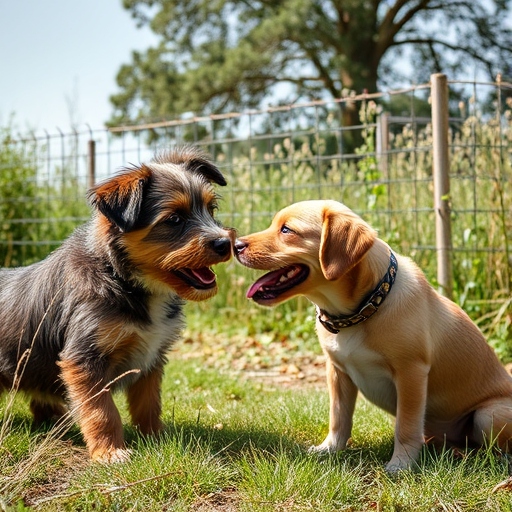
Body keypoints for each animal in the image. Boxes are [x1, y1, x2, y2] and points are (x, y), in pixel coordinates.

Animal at [235, 200, 512, 472]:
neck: (360, 311)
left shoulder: (411, 372)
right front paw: (329, 449)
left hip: (488, 415)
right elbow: (339, 418)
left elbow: (406, 425)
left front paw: (400, 464)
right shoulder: (337, 372)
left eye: (286, 230)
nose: (235, 245)